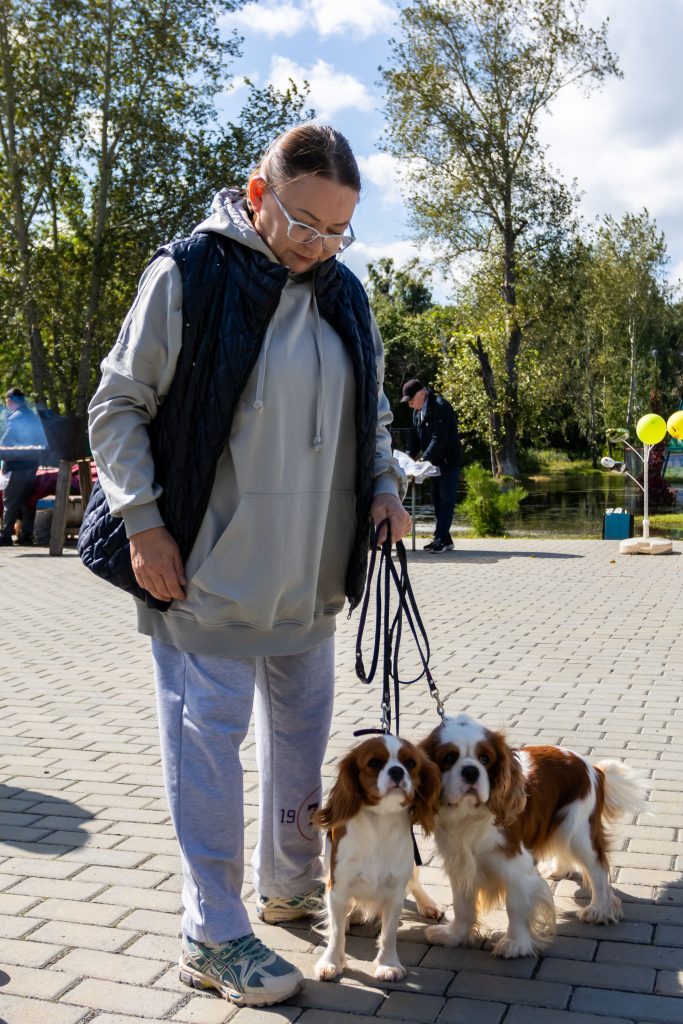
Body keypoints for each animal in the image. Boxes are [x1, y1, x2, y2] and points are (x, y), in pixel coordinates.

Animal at [313, 733, 440, 978]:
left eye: (411, 763)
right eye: (374, 762)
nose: (397, 771)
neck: (380, 820)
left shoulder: (395, 891)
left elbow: (388, 934)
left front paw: (388, 964)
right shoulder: (338, 887)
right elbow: (335, 932)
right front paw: (330, 962)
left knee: (415, 883)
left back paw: (428, 904)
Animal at [421, 716, 647, 954]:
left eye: (485, 759)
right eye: (448, 758)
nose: (471, 771)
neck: (468, 816)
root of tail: (592, 768)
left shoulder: (516, 866)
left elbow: (515, 906)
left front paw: (515, 944)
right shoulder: (460, 864)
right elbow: (462, 904)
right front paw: (454, 935)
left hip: (577, 832)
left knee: (598, 869)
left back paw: (599, 910)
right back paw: (559, 870)